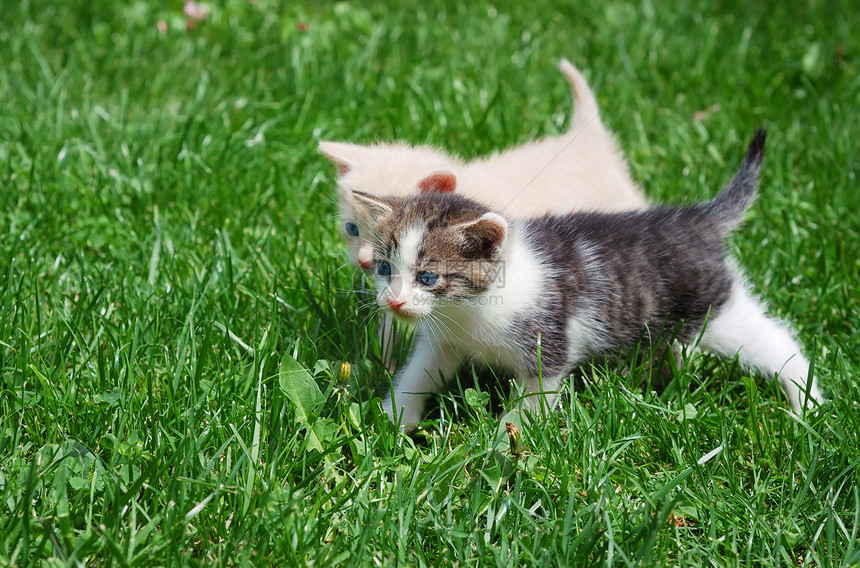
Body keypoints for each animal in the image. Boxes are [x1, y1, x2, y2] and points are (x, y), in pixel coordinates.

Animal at [354, 131, 828, 428]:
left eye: (428, 276)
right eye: (384, 268)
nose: (393, 302)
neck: (468, 312)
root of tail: (695, 218)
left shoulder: (547, 349)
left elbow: (530, 406)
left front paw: (500, 446)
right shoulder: (444, 342)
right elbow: (418, 374)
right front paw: (394, 419)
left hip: (715, 310)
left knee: (777, 342)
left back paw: (807, 403)